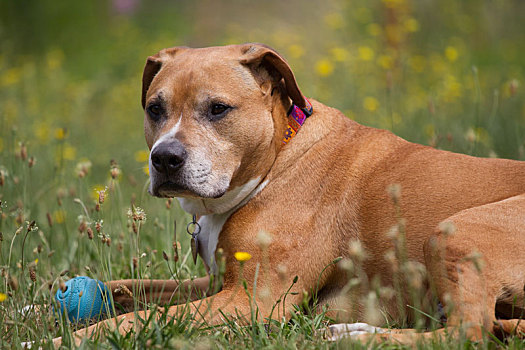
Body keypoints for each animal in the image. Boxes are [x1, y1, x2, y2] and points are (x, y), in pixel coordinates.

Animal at [51, 42, 520, 346]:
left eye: (218, 109)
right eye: (155, 108)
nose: (165, 158)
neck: (278, 156)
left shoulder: (248, 301)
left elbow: (133, 319)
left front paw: (60, 340)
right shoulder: (216, 284)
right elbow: (129, 289)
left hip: (454, 231)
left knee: (468, 333)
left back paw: (356, 336)